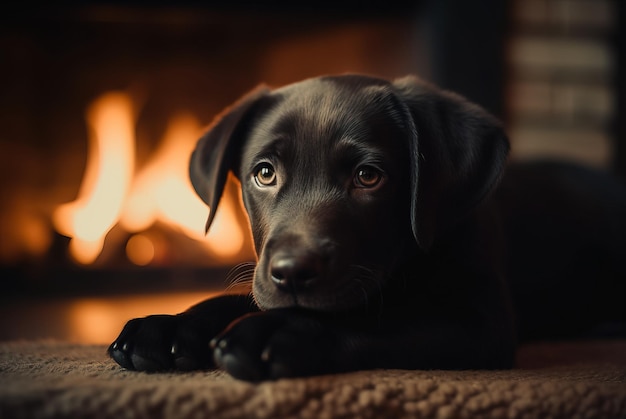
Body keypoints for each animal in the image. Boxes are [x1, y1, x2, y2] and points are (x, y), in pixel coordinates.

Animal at [108, 74, 624, 382]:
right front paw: (170, 326)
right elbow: (236, 297)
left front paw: (272, 334)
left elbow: (372, 316)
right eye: (264, 173)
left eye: (368, 176)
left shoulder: (483, 323)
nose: (292, 273)